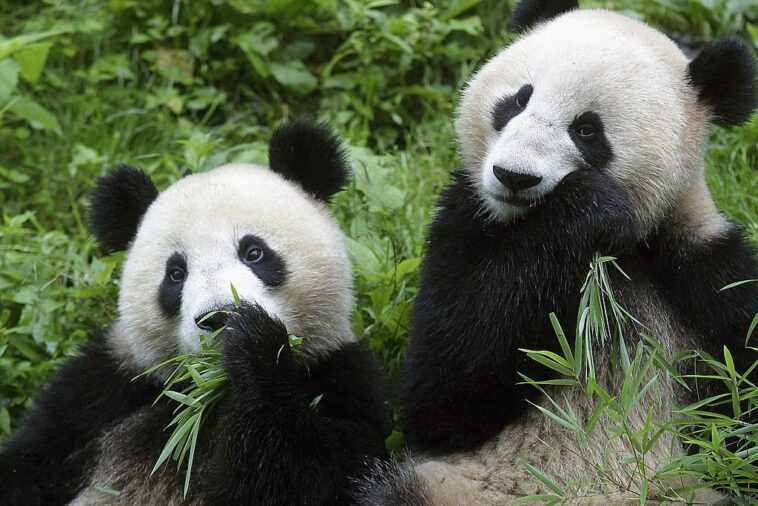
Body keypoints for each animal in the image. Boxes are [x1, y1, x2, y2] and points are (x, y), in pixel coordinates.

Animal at [0, 121, 390, 505]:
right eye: (176, 273)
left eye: (254, 252)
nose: (218, 316)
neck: (204, 395)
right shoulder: (104, 391)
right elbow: (29, 464)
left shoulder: (338, 374)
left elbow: (316, 473)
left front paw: (254, 346)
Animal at [357, 1, 757, 504]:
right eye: (518, 100)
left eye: (587, 130)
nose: (513, 176)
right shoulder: (463, 224)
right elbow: (443, 391)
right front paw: (588, 208)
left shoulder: (707, 274)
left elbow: (739, 405)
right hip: (452, 486)